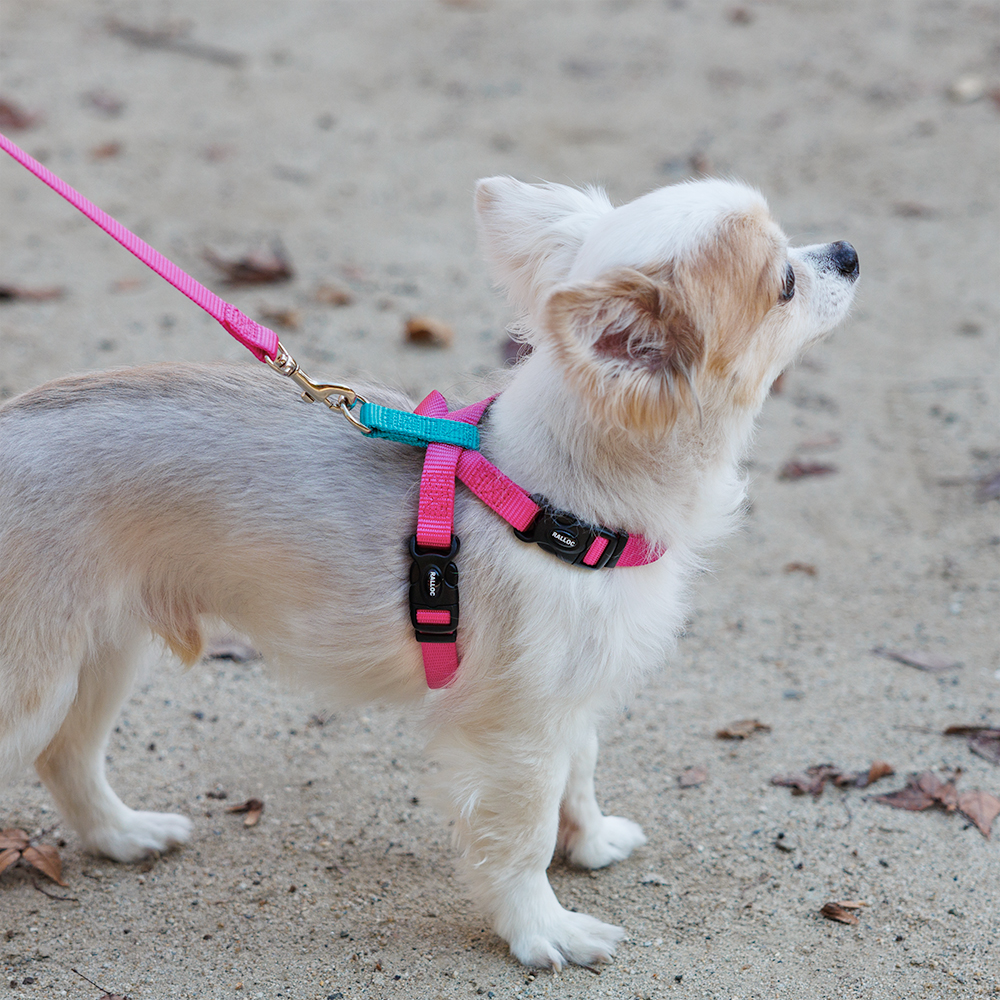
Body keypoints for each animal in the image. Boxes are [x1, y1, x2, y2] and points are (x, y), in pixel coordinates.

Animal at [1, 176, 860, 964]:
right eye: (783, 282)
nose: (849, 252)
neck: (554, 501)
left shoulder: (569, 697)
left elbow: (579, 774)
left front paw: (589, 842)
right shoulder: (516, 731)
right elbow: (523, 833)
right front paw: (542, 929)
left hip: (103, 654)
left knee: (67, 757)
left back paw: (122, 834)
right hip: (35, 684)